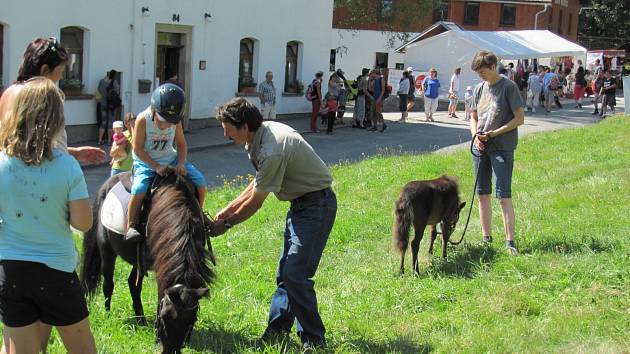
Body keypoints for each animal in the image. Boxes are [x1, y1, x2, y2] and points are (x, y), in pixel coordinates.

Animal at [81, 169, 216, 354]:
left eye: (192, 320)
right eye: (164, 317)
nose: (170, 350)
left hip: (138, 262)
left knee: (133, 284)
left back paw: (141, 320)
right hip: (107, 251)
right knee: (108, 285)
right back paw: (108, 316)